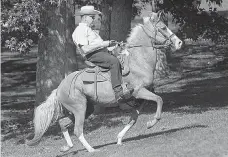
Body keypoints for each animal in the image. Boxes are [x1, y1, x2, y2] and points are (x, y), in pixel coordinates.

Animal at [26, 11, 183, 153]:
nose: (179, 42)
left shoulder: (136, 99)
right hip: (79, 109)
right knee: (77, 130)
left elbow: (134, 118)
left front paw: (119, 138)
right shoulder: (140, 92)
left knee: (63, 123)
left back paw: (67, 147)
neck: (137, 62)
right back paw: (91, 149)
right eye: (163, 27)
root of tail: (59, 88)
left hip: (85, 109)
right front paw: (151, 123)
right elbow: (159, 99)